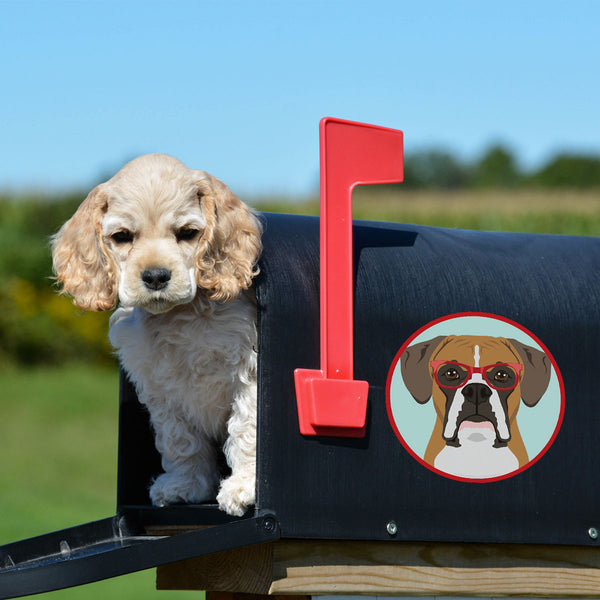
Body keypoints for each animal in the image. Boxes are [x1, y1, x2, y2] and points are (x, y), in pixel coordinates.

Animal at [53, 154, 262, 516]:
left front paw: (244, 487)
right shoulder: (161, 389)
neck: (178, 316)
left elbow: (246, 428)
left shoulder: (248, 372)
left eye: (187, 233)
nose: (154, 276)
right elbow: (180, 440)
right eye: (122, 236)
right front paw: (185, 486)